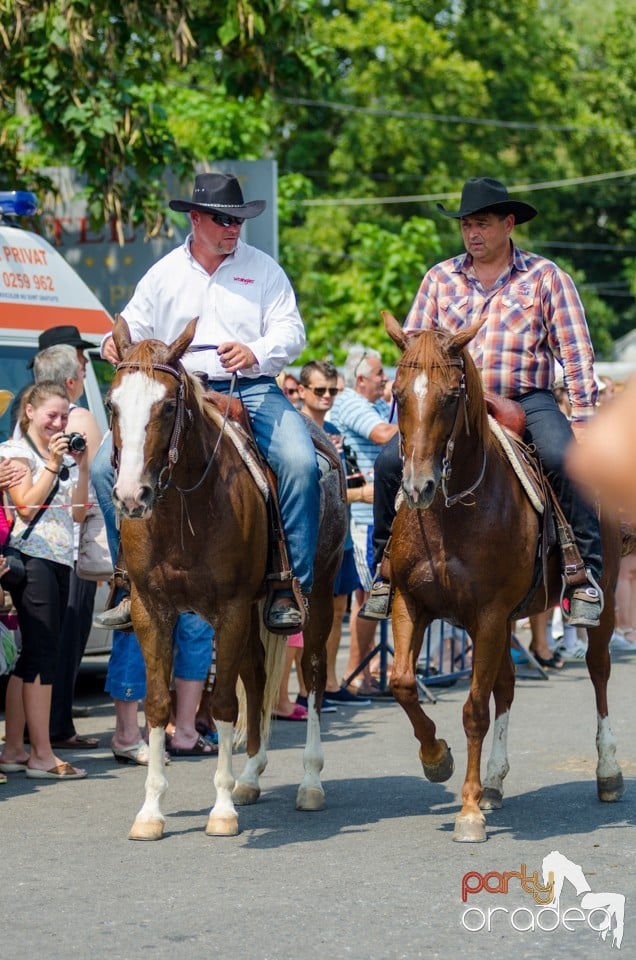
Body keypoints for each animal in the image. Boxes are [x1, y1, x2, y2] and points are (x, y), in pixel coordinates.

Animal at [110, 316, 348, 840]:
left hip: (318, 595)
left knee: (313, 675)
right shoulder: (152, 611)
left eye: (168, 406)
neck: (182, 510)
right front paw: (150, 812)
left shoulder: (232, 608)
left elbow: (221, 705)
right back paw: (252, 776)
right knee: (257, 674)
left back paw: (310, 783)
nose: (132, 496)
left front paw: (220, 810)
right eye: (113, 404)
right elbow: (158, 704)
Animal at [382, 314, 628, 840]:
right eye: (396, 391)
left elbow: (475, 709)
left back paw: (608, 772)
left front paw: (469, 811)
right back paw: (493, 780)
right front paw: (437, 759)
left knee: (598, 671)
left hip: (603, 603)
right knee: (508, 686)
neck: (450, 515)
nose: (417, 486)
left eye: (451, 396)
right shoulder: (411, 603)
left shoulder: (490, 614)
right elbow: (403, 682)